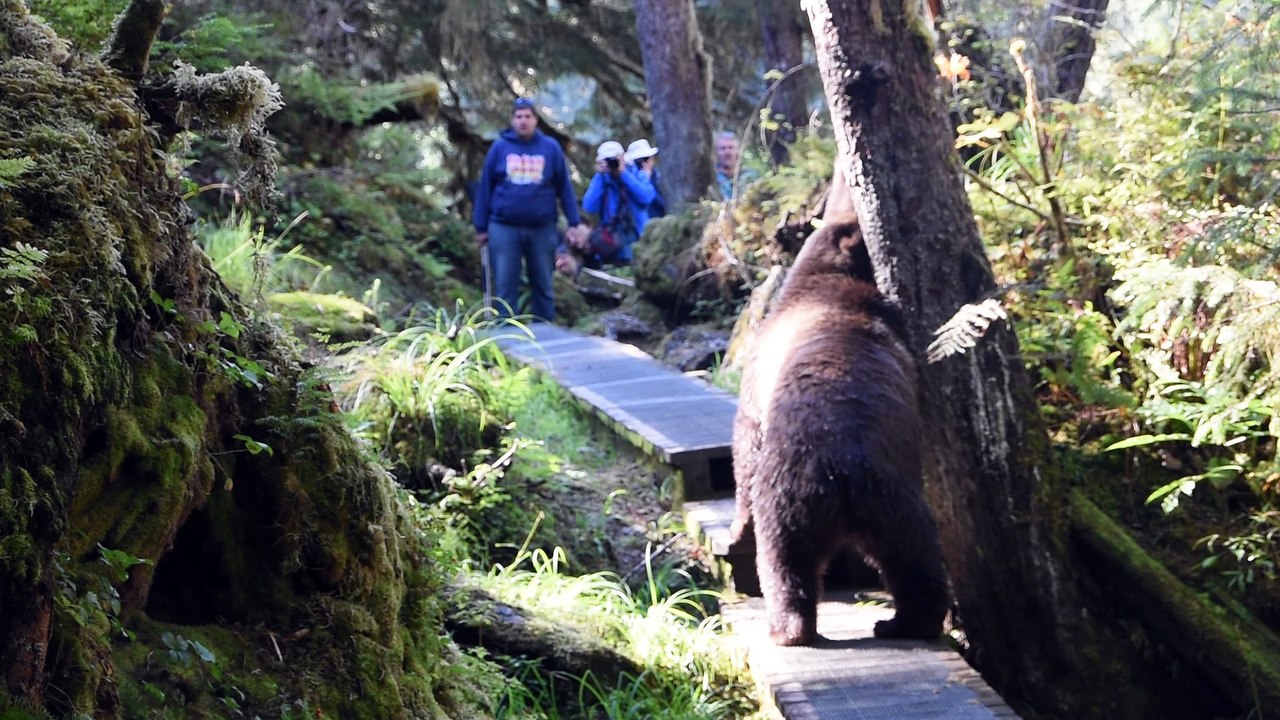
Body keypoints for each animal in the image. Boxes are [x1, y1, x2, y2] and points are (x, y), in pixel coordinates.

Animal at [730, 217, 949, 646]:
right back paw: (907, 621)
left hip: (786, 499)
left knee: (784, 560)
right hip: (895, 500)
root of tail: (839, 469)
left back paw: (788, 627)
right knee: (916, 559)